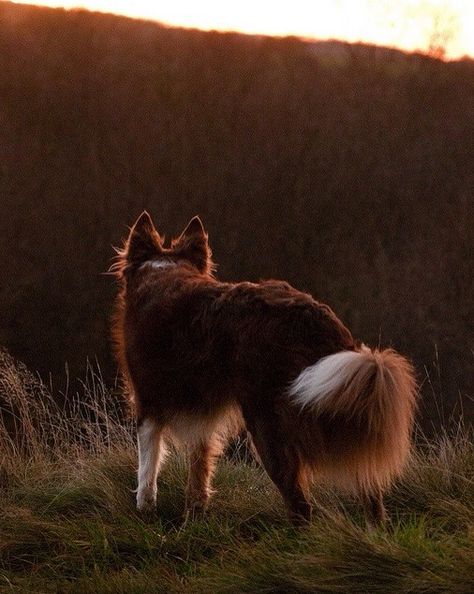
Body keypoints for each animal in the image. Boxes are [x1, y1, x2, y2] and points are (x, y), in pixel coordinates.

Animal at [113, 212, 416, 524]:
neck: (161, 271)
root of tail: (315, 319)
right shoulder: (202, 415)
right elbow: (199, 468)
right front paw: (194, 516)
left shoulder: (148, 404)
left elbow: (147, 465)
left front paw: (145, 509)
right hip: (340, 407)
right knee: (370, 492)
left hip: (268, 425)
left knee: (301, 505)